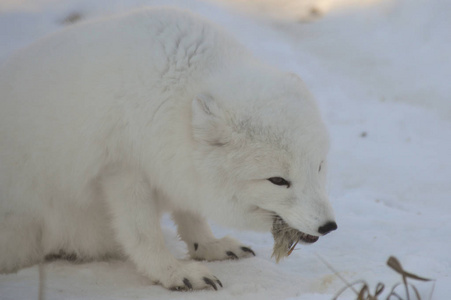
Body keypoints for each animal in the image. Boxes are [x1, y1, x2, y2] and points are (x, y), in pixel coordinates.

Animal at [0, 7, 338, 290]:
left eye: (319, 166)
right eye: (278, 180)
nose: (329, 226)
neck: (176, 92)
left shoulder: (177, 166)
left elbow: (191, 215)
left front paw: (209, 246)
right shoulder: (123, 172)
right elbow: (142, 235)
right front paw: (173, 273)